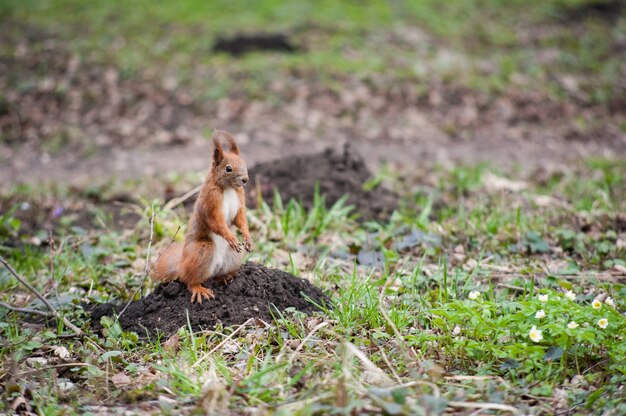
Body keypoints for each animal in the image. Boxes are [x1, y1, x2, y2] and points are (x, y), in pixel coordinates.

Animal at [152, 132, 251, 304]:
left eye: (243, 163)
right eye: (228, 168)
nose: (245, 179)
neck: (228, 188)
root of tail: (181, 265)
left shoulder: (239, 201)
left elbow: (240, 220)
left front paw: (247, 237)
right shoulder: (209, 203)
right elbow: (215, 222)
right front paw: (231, 237)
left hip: (234, 256)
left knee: (218, 275)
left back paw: (227, 277)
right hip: (202, 251)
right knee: (189, 280)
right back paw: (199, 289)